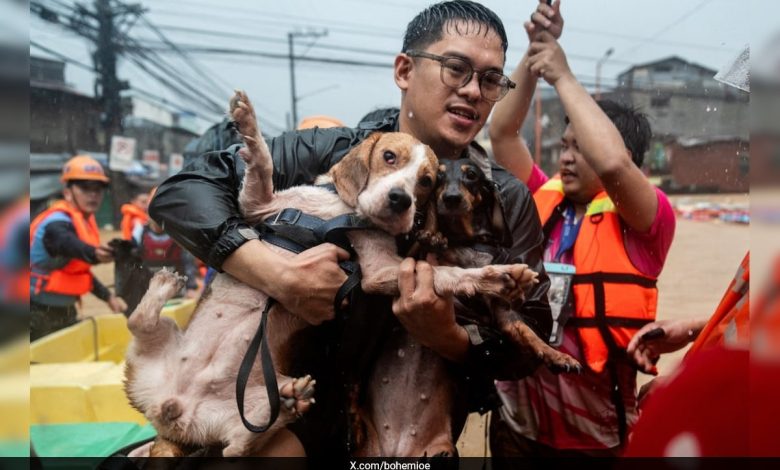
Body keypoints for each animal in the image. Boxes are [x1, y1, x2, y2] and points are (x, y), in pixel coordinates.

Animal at [125, 90, 540, 458]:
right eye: (389, 156)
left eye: (426, 181)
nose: (400, 201)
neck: (344, 214)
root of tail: (173, 413)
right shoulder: (260, 205)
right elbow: (262, 163)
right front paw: (247, 122)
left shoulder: (377, 269)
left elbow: (446, 274)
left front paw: (497, 277)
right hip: (150, 356)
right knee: (138, 324)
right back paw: (163, 286)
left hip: (233, 413)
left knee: (236, 444)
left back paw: (288, 400)